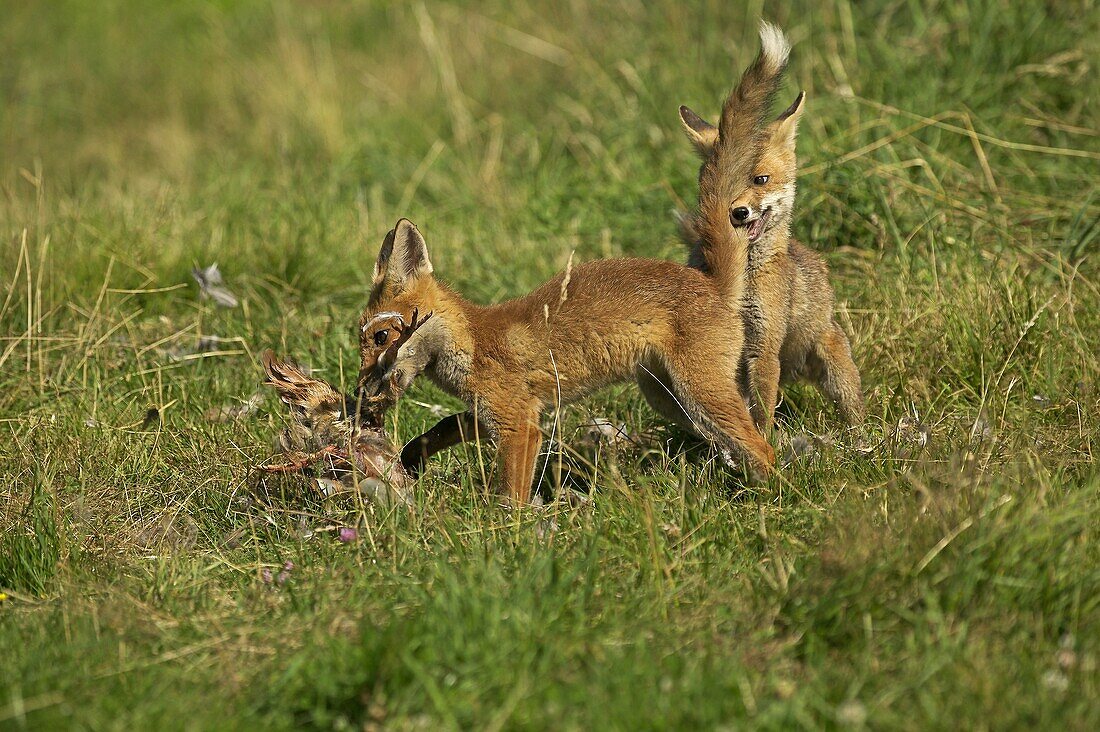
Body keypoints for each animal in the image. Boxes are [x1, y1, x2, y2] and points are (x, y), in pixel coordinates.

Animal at [673, 27, 862, 429]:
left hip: (835, 365)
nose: (737, 213)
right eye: (712, 186)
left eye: (760, 179)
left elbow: (760, 413)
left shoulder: (763, 345)